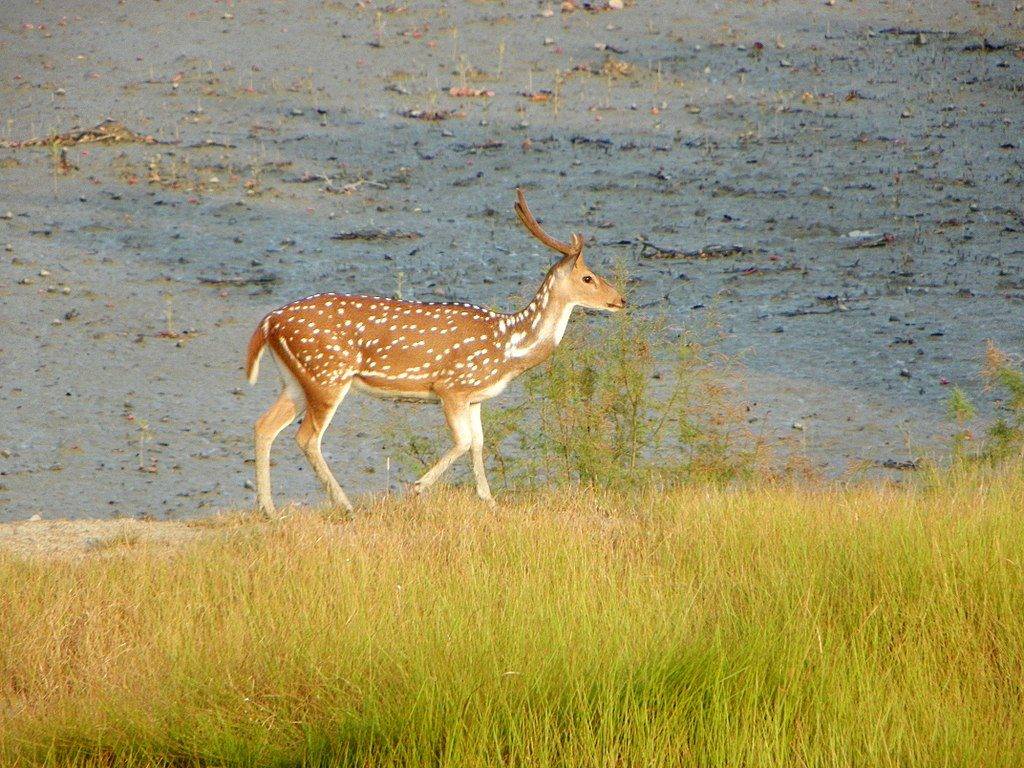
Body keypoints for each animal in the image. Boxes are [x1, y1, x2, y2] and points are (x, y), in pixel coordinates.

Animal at [245, 189, 622, 520]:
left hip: (297, 380)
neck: (508, 347)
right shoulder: (451, 386)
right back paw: (346, 506)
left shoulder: (474, 397)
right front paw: (417, 487)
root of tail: (268, 322)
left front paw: (490, 501)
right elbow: (464, 441)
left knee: (264, 425)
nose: (621, 299)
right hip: (327, 375)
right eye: (588, 277)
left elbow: (478, 443)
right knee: (307, 437)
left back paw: (270, 510)